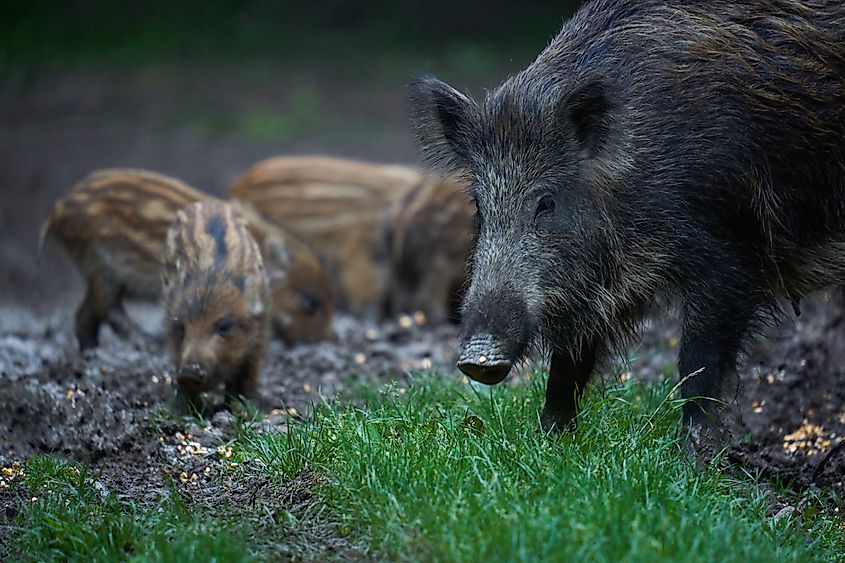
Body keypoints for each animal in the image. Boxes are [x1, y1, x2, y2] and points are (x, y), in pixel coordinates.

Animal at [40, 168, 333, 349]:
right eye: (311, 303)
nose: (331, 340)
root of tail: (57, 209)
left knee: (84, 313)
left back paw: (88, 354)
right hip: (99, 263)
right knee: (107, 308)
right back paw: (144, 342)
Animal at [162, 200, 270, 408]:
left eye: (224, 326)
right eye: (181, 328)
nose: (190, 373)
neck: (211, 279)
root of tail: (211, 203)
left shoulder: (260, 332)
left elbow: (247, 372)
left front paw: (243, 405)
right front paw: (183, 408)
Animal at [409, 0, 845, 456]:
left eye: (546, 202)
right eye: (479, 204)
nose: (478, 358)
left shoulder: (733, 256)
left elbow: (698, 364)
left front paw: (689, 460)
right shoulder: (589, 289)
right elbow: (568, 364)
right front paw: (550, 442)